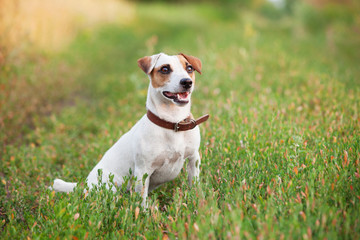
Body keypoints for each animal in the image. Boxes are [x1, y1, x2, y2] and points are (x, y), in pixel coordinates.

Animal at [53, 52, 211, 206]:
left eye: (189, 68)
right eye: (165, 69)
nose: (187, 82)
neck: (173, 122)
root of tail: (84, 185)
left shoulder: (193, 159)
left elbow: (194, 184)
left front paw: (199, 202)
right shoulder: (142, 171)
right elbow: (142, 201)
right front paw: (145, 214)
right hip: (110, 188)